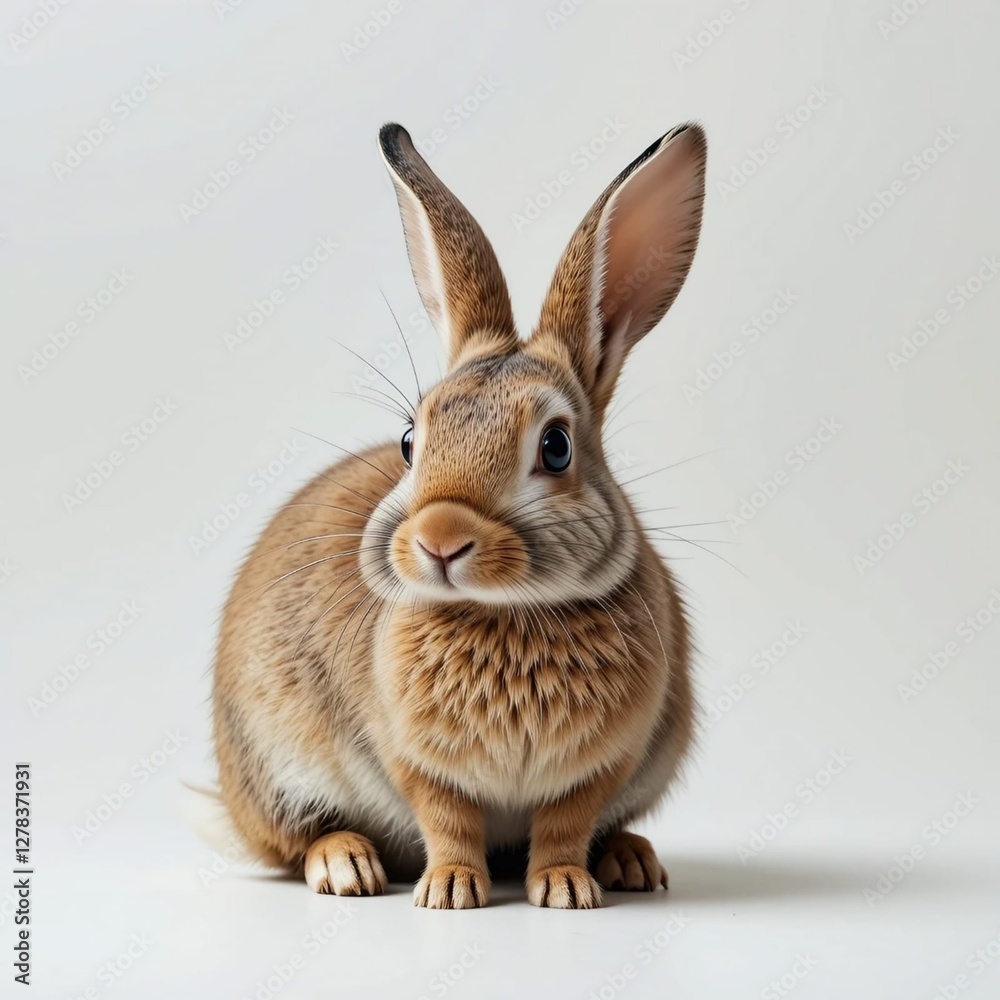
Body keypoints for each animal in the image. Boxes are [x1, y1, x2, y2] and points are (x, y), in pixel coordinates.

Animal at [212, 119, 707, 909]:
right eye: (411, 442)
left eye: (557, 447)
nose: (441, 541)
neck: (505, 613)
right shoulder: (414, 759)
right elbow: (446, 818)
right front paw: (449, 891)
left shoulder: (602, 764)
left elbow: (566, 823)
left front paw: (565, 888)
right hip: (273, 766)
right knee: (298, 840)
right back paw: (347, 867)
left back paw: (630, 861)